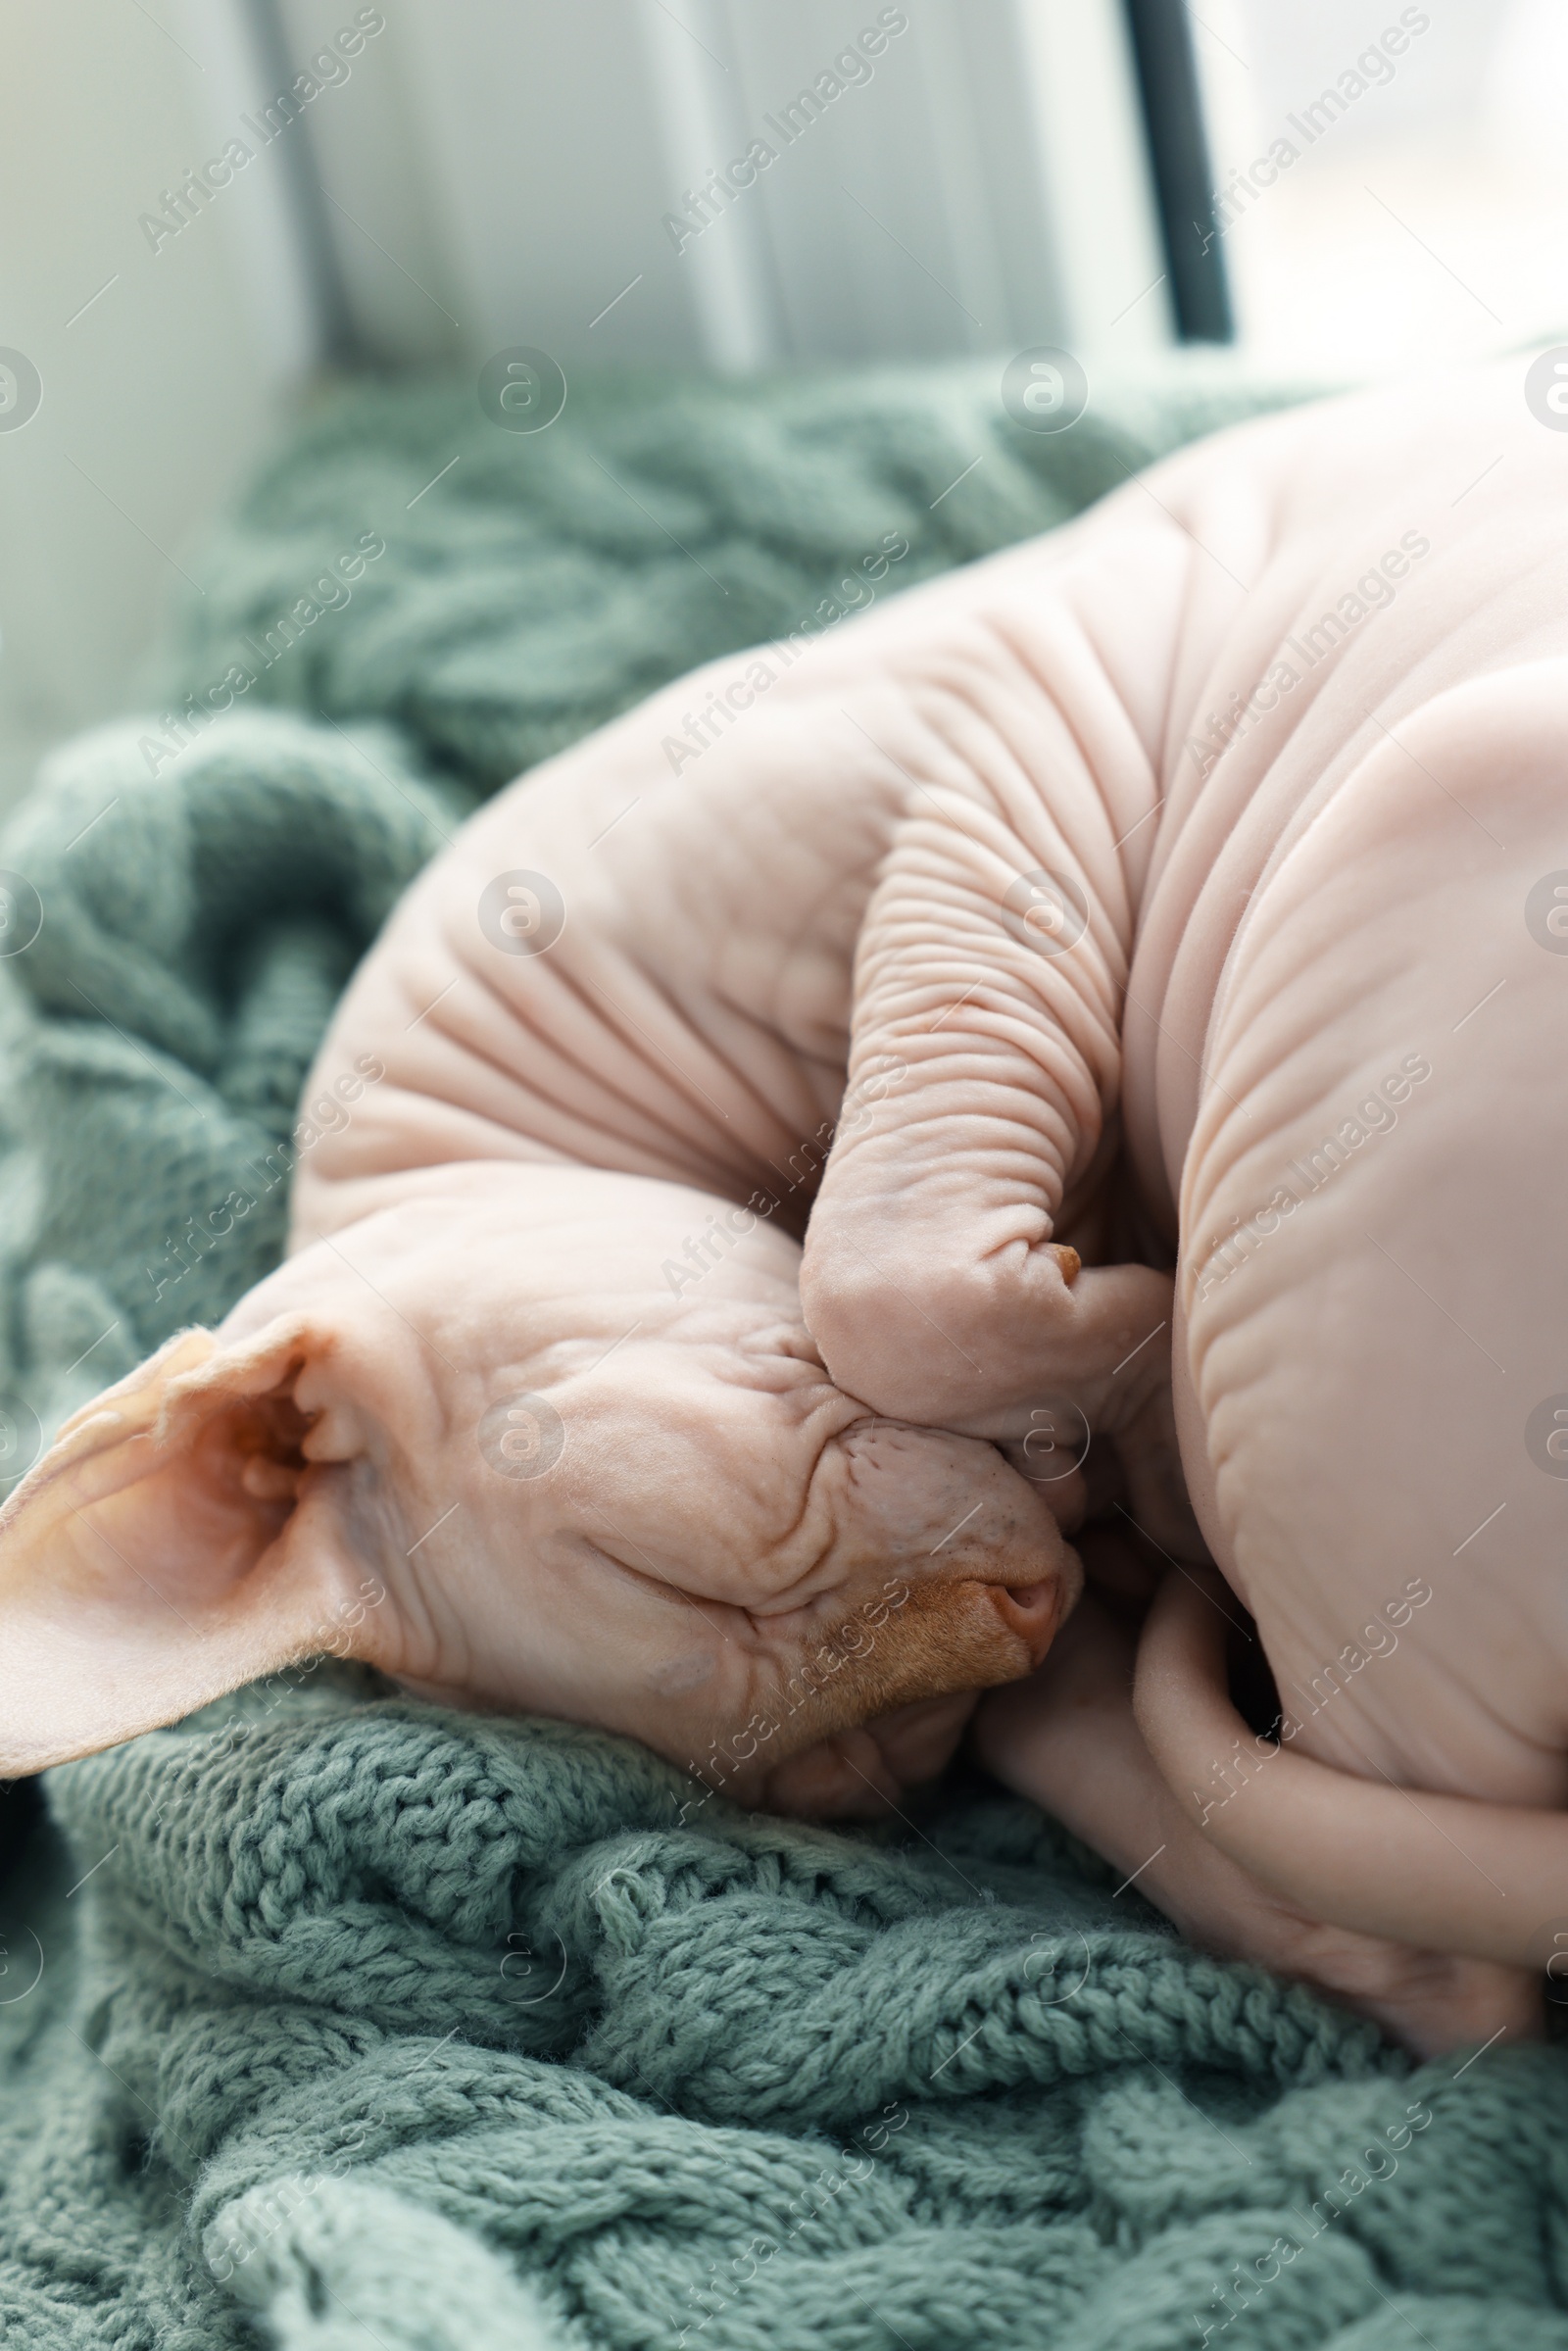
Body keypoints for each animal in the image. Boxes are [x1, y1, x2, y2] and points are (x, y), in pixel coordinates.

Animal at [6, 352, 1560, 2059]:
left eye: (656, 1565)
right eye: (874, 1762)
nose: (1023, 1606)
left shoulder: (992, 777)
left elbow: (879, 1283)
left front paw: (1135, 1371)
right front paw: (1124, 1462)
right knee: (1451, 1973)